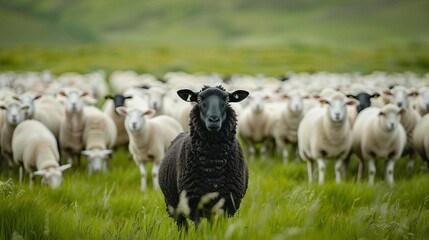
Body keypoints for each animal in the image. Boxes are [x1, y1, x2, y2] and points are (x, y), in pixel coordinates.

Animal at [159, 85, 249, 230]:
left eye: (226, 99)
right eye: (200, 99)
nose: (214, 119)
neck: (213, 163)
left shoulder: (226, 204)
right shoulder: (194, 203)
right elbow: (199, 229)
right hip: (173, 206)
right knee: (183, 227)